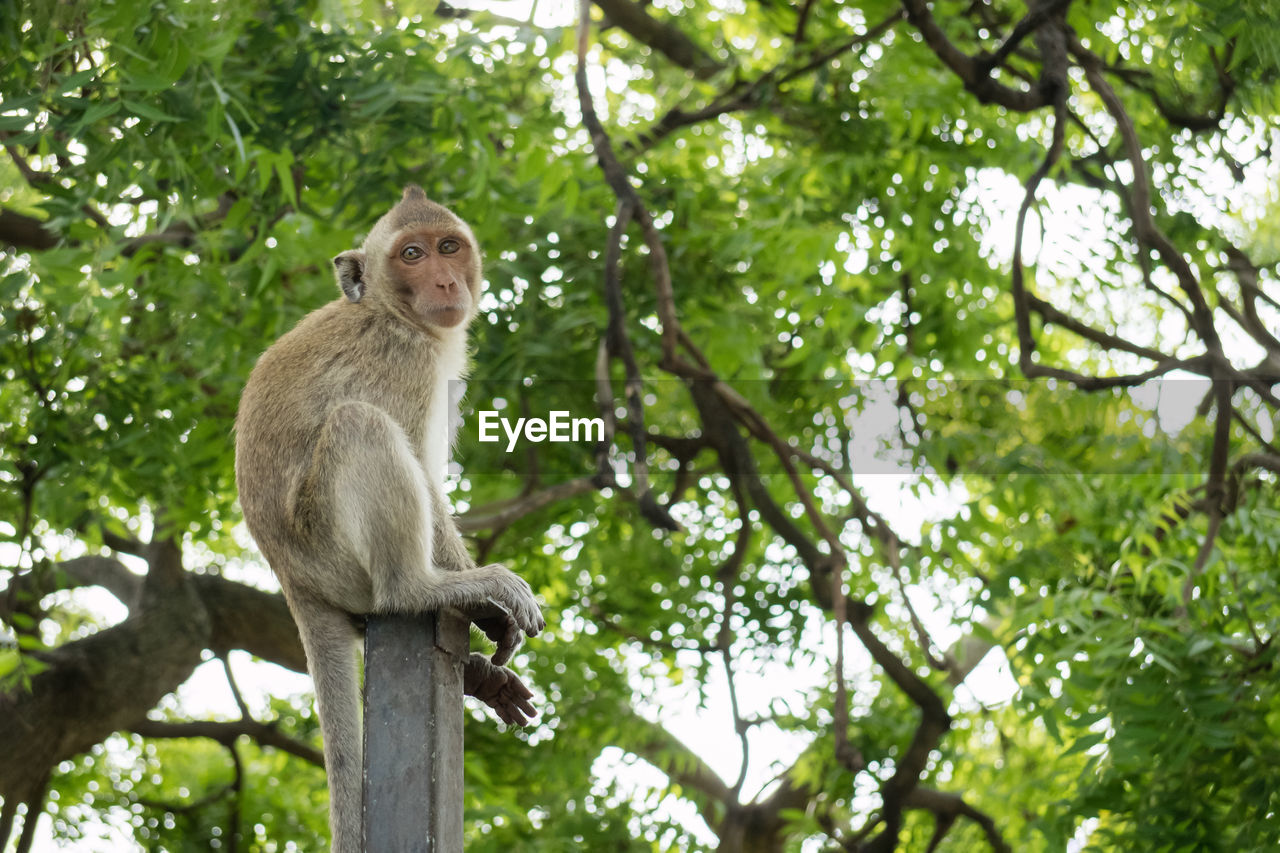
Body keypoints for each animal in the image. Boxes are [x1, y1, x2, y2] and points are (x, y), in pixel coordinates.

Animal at [235, 185, 545, 850]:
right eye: (411, 255)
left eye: (448, 246)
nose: (446, 281)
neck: (393, 313)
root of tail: (292, 581)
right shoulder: (403, 361)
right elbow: (423, 471)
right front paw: (484, 597)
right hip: (325, 546)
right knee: (361, 424)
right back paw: (424, 588)